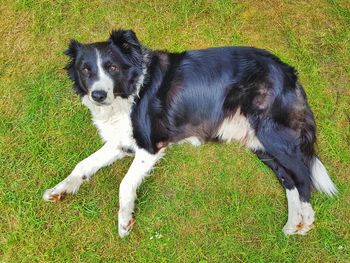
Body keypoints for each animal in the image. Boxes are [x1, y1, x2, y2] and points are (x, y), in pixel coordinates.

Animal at [43, 29, 336, 239]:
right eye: (85, 69)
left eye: (112, 67)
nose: (98, 95)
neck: (131, 90)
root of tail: (287, 69)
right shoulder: (121, 143)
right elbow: (83, 164)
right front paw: (60, 189)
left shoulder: (150, 146)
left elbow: (125, 183)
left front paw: (125, 221)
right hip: (259, 143)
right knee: (288, 178)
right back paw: (293, 223)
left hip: (272, 133)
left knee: (303, 175)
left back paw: (306, 221)